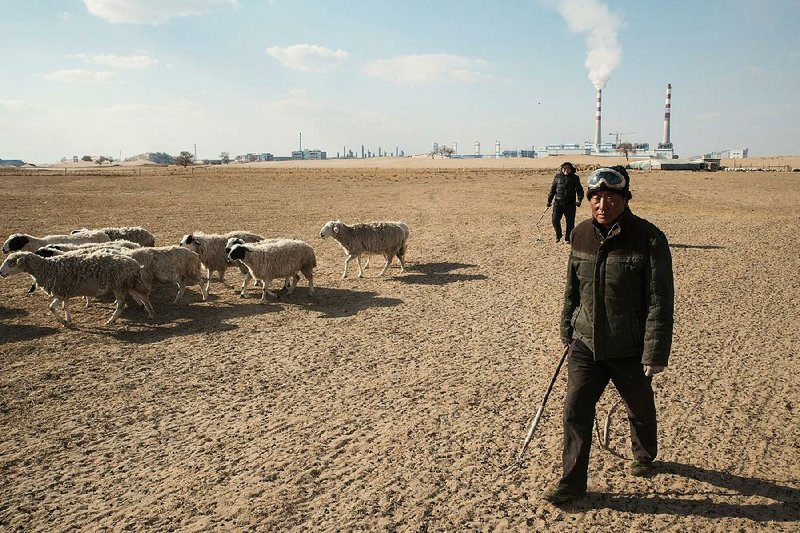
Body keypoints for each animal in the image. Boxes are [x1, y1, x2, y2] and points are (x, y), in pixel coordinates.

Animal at [0, 249, 155, 324]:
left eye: (11, 262)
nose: (0, 272)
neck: (47, 267)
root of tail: (135, 264)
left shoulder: (60, 290)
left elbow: (52, 307)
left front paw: (62, 320)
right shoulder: (65, 292)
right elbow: (63, 306)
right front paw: (67, 320)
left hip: (119, 285)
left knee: (122, 304)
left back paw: (111, 320)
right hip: (128, 284)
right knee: (144, 296)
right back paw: (150, 313)